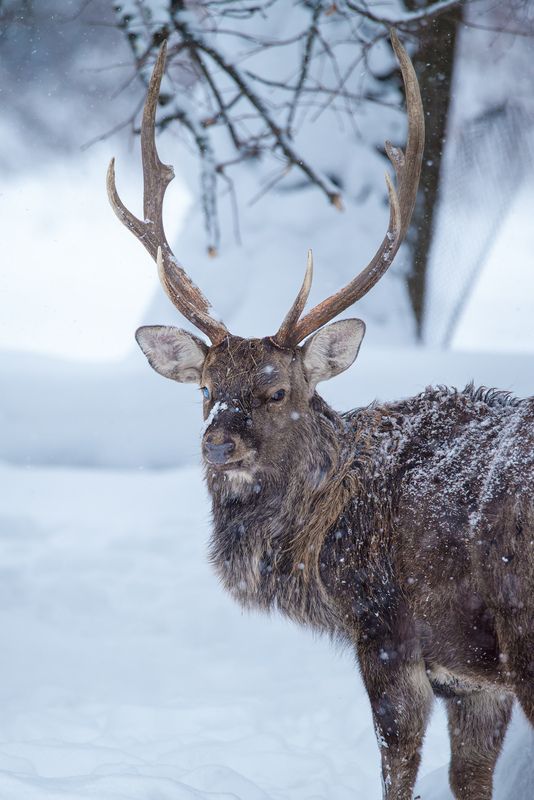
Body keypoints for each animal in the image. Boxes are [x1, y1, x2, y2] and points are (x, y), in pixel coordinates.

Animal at [107, 31, 534, 800]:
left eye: (279, 391)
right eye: (205, 388)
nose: (218, 443)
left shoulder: (388, 633)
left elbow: (398, 771)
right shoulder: (475, 682)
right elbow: (470, 779)